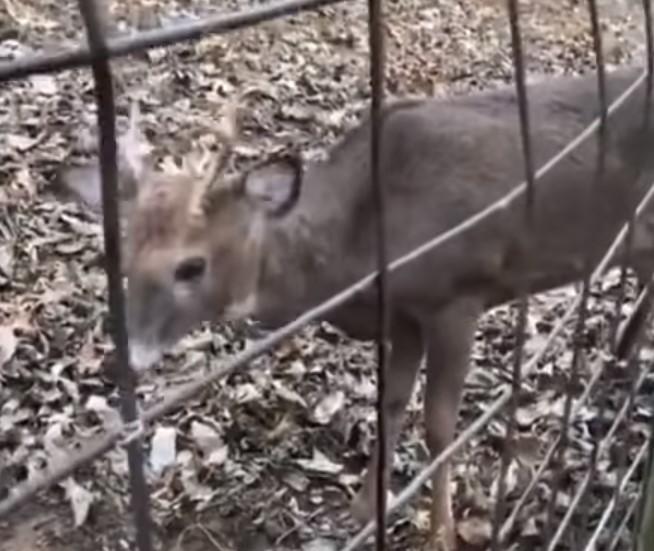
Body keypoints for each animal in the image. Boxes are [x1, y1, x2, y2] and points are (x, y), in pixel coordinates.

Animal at [53, 63, 654, 548]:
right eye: (123, 258)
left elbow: (439, 426)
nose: (127, 355)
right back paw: (622, 356)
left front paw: (441, 534)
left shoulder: (457, 293)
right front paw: (365, 508)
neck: (357, 249)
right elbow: (390, 403)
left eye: (190, 266)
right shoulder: (405, 314)